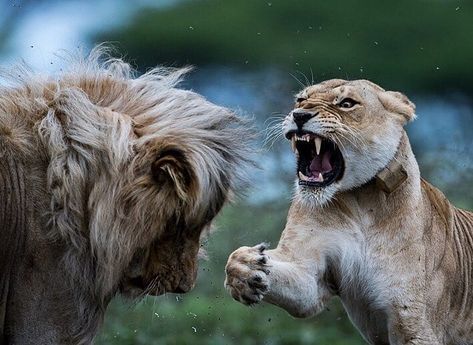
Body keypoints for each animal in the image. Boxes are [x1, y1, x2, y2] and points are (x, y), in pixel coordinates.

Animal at [224, 79, 472, 342]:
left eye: (346, 103)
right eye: (301, 100)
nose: (299, 115)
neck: (361, 202)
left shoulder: (413, 323)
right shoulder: (310, 278)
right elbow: (295, 286)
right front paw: (246, 268)